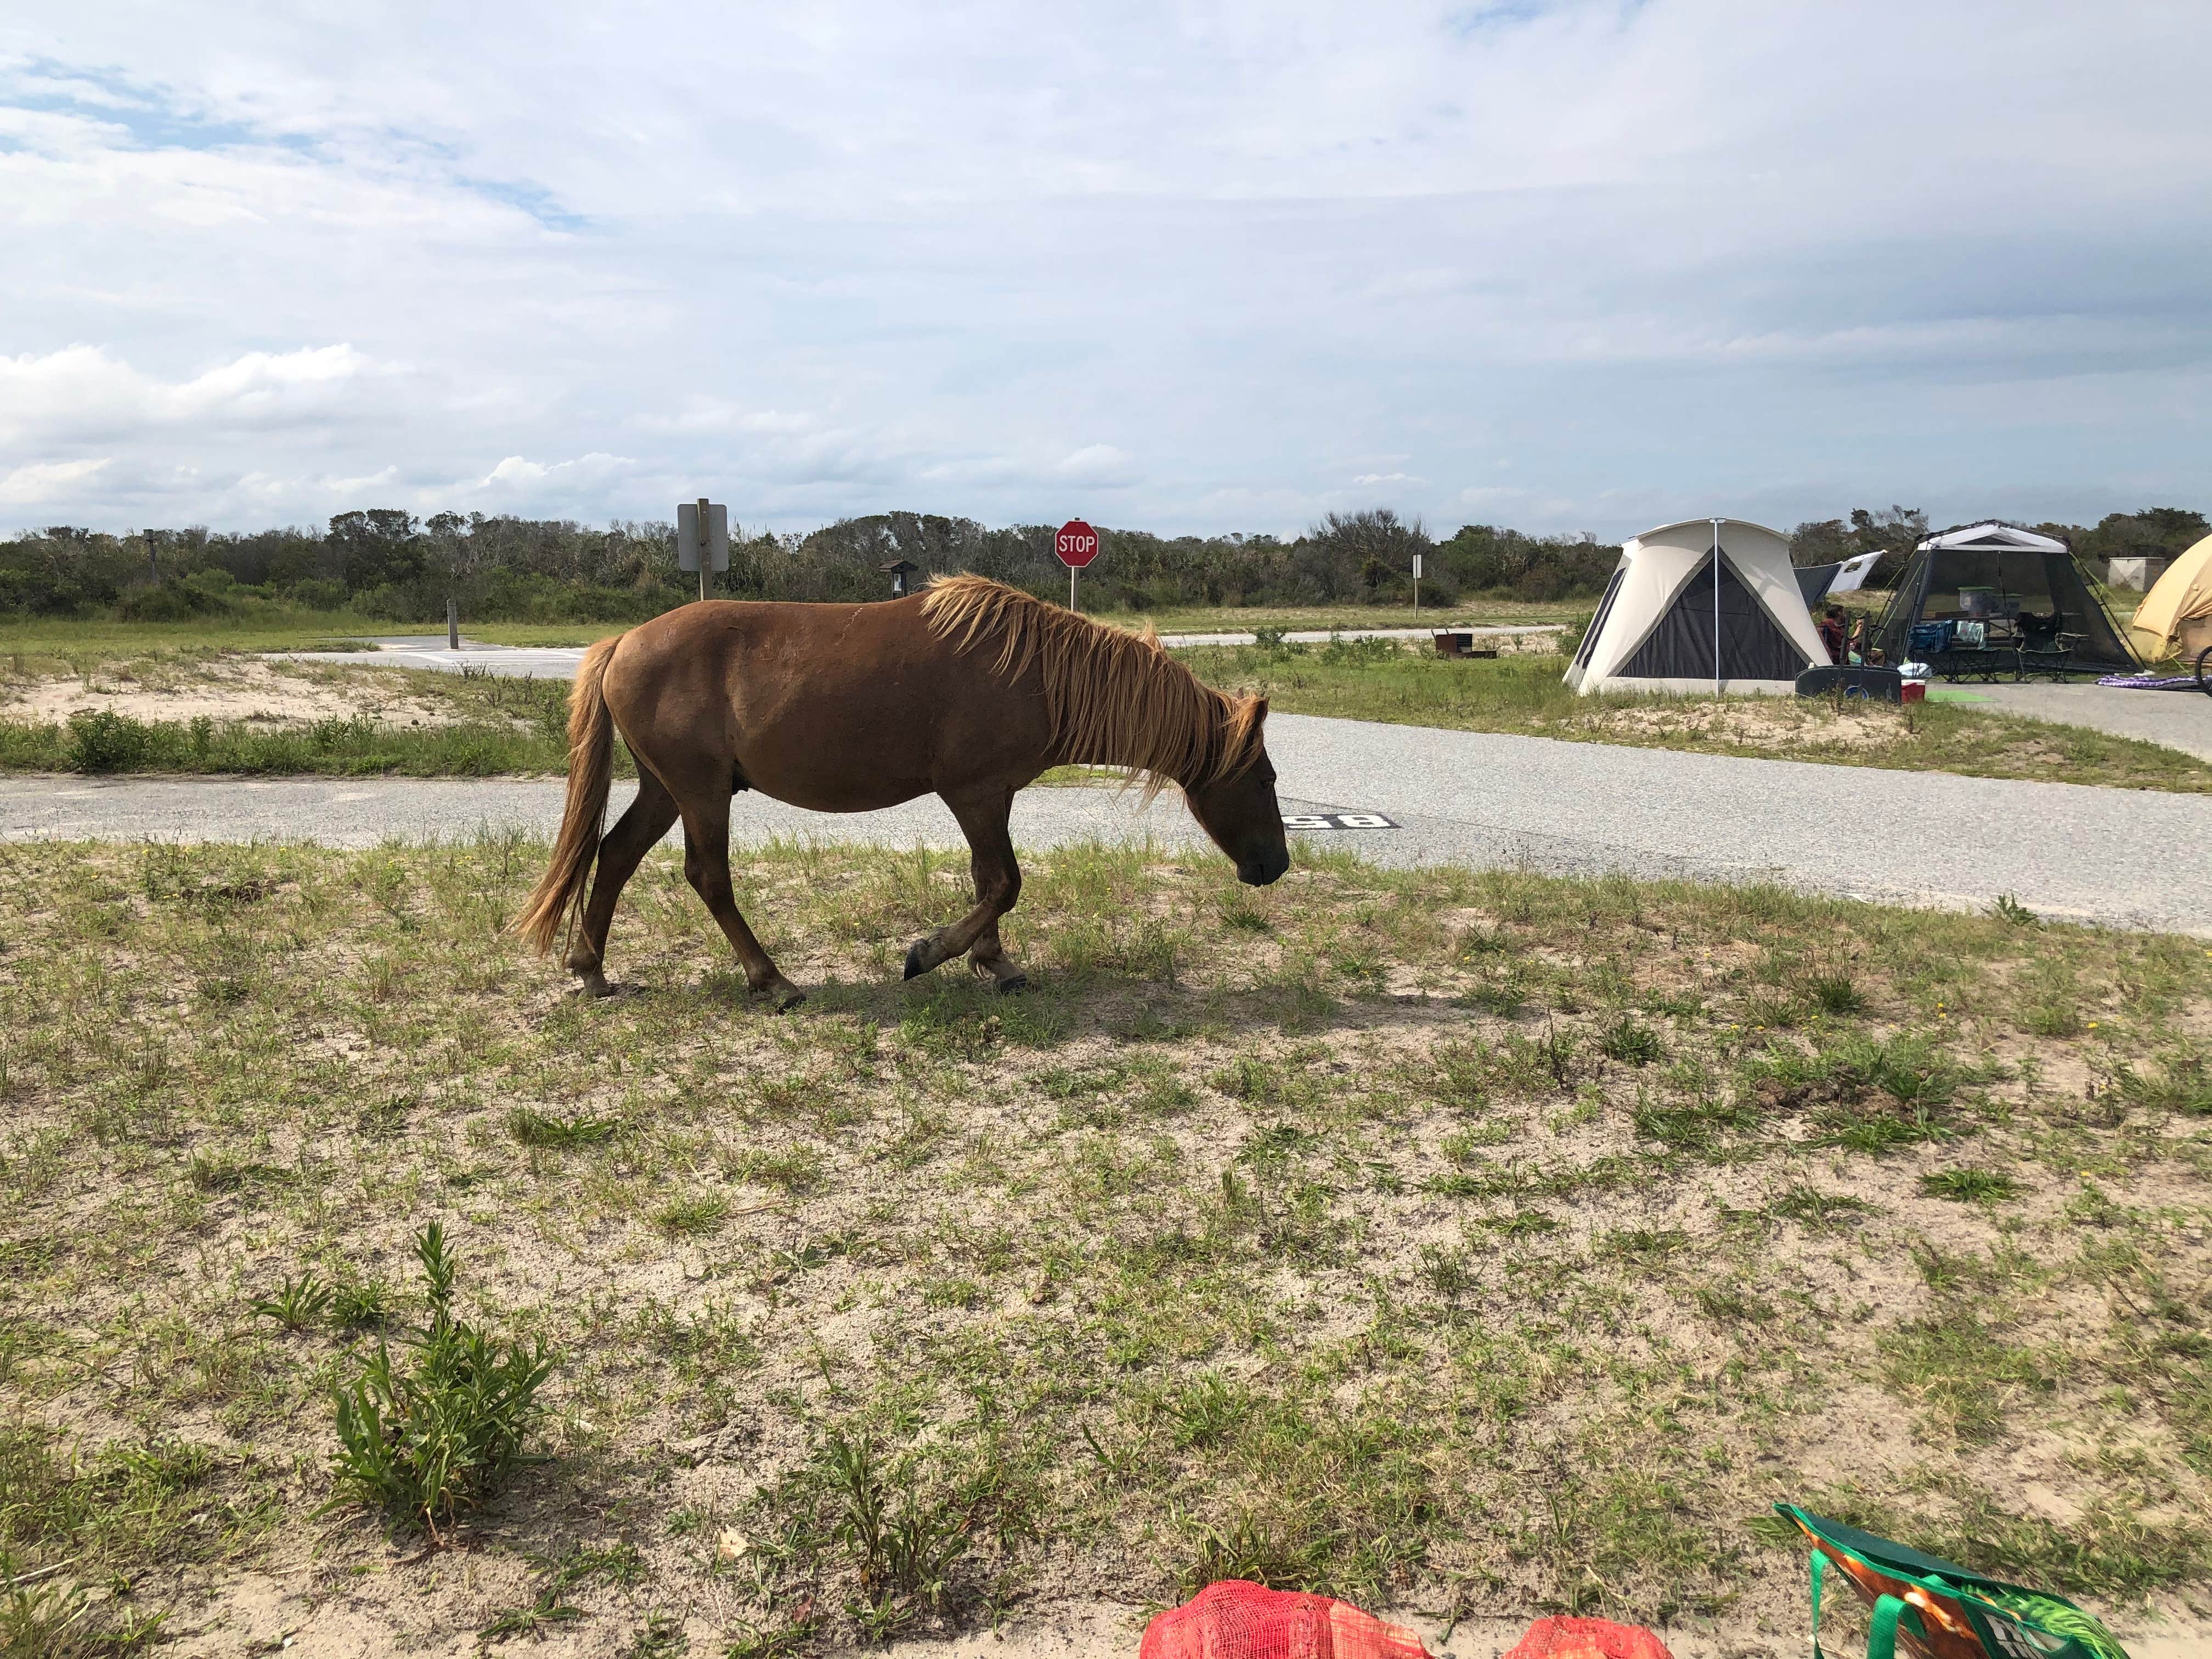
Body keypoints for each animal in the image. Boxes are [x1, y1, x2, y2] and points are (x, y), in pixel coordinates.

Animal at [515, 575, 1290, 1009]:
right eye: (1264, 777)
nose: (1275, 865)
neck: (1038, 673)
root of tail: (622, 643)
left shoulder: (994, 796)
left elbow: (988, 879)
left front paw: (995, 963)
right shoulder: (973, 793)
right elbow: (1004, 881)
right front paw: (931, 954)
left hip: (666, 789)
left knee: (615, 858)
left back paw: (592, 971)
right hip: (700, 792)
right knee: (708, 877)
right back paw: (773, 981)